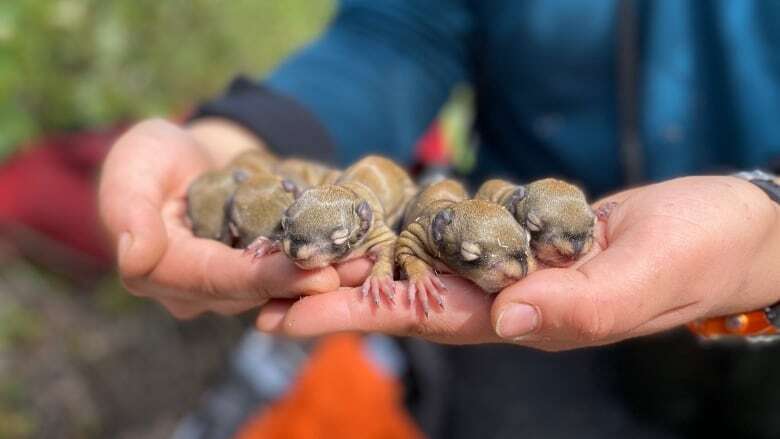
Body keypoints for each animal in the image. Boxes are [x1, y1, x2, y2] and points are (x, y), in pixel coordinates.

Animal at [278, 156, 414, 306]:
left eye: (339, 238)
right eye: (283, 225)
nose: (294, 252)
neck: (350, 190)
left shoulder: (375, 232)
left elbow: (388, 244)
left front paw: (378, 279)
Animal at [396, 179, 536, 316]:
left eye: (526, 239)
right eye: (469, 252)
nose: (520, 272)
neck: (448, 206)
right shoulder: (419, 231)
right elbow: (405, 248)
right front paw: (424, 280)